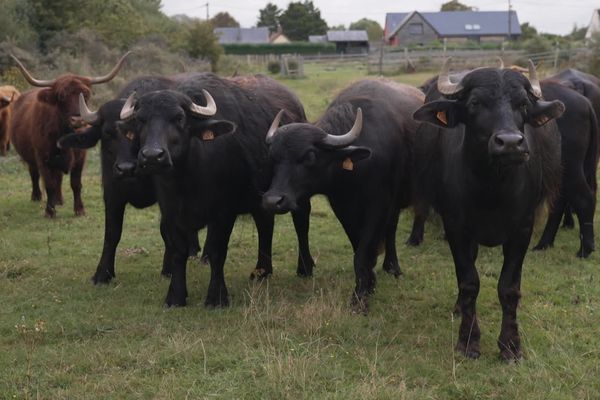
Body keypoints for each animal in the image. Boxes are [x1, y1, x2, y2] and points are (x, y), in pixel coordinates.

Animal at [8, 54, 131, 219]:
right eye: (61, 96)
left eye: (85, 94)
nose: (78, 120)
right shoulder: (43, 158)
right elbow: (49, 183)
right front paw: (50, 211)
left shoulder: (80, 158)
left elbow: (75, 184)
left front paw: (79, 209)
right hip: (29, 156)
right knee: (34, 174)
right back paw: (37, 196)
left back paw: (59, 200)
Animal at [117, 72, 314, 306]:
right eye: (140, 120)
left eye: (179, 118)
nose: (152, 156)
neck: (187, 179)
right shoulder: (171, 211)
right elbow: (178, 251)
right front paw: (175, 296)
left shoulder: (223, 213)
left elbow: (217, 251)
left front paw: (216, 297)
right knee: (265, 223)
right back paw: (262, 271)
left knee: (301, 222)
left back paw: (305, 267)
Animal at [262, 79, 422, 310]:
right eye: (273, 157)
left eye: (310, 155)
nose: (272, 201)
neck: (356, 170)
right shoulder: (342, 206)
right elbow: (358, 247)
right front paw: (369, 282)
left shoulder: (379, 204)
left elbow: (363, 252)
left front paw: (360, 297)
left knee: (391, 229)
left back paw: (393, 267)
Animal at [410, 60, 564, 362]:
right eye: (474, 103)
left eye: (523, 104)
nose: (511, 143)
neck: (492, 189)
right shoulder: (456, 227)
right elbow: (469, 283)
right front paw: (468, 341)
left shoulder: (522, 229)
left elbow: (509, 288)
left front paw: (511, 346)